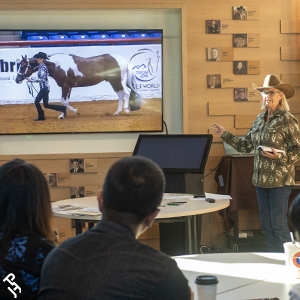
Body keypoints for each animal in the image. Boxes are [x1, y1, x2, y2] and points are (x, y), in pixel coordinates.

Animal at [15, 53, 143, 115]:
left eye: (22, 66)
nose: (17, 79)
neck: (58, 66)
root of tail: (122, 60)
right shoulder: (69, 87)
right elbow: (66, 101)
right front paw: (65, 114)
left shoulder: (66, 86)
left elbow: (63, 101)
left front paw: (74, 112)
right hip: (114, 82)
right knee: (121, 95)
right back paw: (117, 112)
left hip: (116, 81)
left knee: (126, 93)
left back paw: (126, 110)